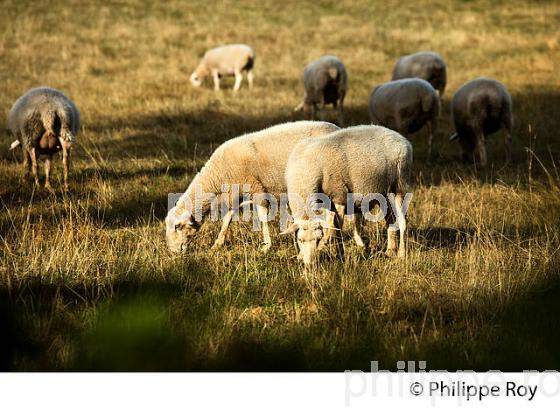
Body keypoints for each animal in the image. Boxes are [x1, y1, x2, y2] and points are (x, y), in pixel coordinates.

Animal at [165, 120, 342, 253]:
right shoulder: (236, 194)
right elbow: (227, 218)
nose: (173, 252)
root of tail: (337, 128)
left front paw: (266, 246)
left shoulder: (257, 189)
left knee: (331, 215)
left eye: (177, 226)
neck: (218, 175)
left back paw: (325, 242)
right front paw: (217, 244)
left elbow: (263, 217)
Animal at [284, 125, 412, 266]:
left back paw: (401, 253)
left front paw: (340, 254)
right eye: (300, 240)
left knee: (403, 221)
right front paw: (301, 256)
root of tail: (400, 138)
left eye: (317, 239)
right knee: (391, 219)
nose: (310, 264)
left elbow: (336, 228)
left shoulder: (339, 196)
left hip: (401, 184)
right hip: (383, 193)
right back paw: (389, 251)